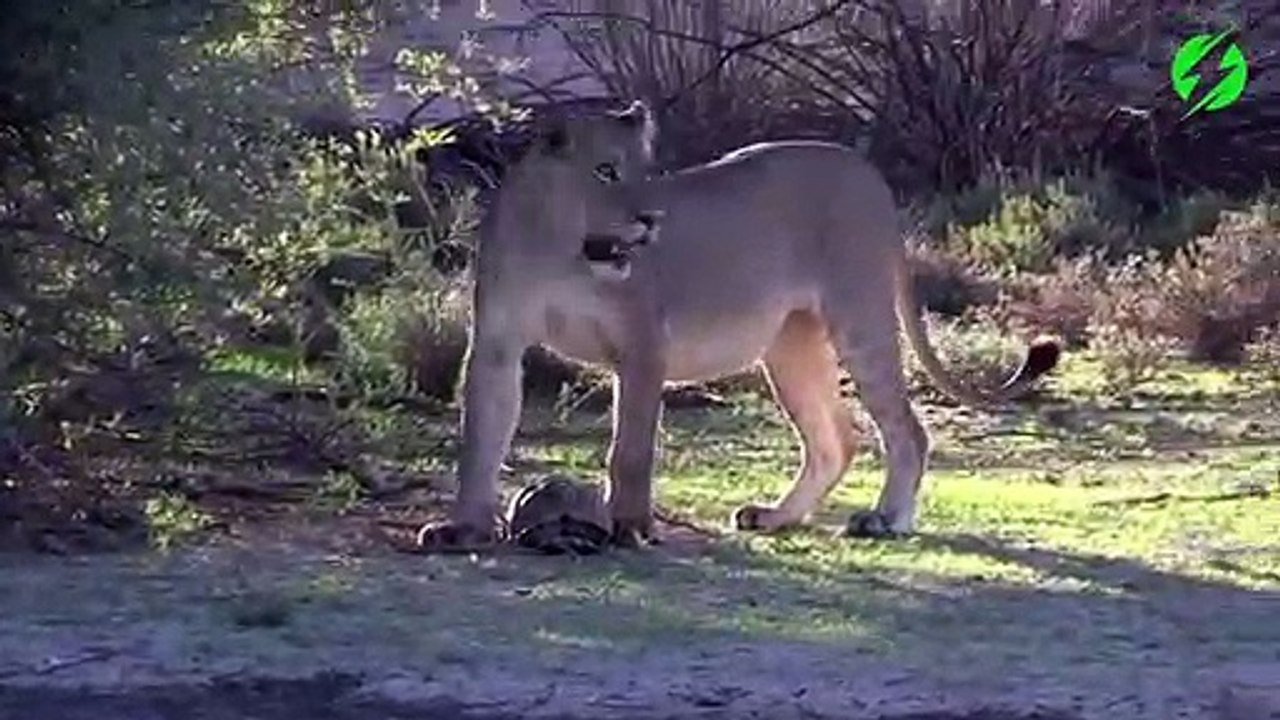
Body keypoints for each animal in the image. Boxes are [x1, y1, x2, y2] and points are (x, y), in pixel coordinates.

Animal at [418, 101, 1059, 550]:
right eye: (605, 171)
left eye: (649, 172)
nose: (652, 219)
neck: (563, 251)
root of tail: (869, 173)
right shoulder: (496, 346)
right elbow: (481, 440)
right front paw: (463, 528)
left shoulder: (643, 348)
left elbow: (630, 450)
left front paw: (631, 526)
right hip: (790, 348)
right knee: (835, 440)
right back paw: (776, 516)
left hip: (860, 319)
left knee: (906, 430)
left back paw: (887, 519)